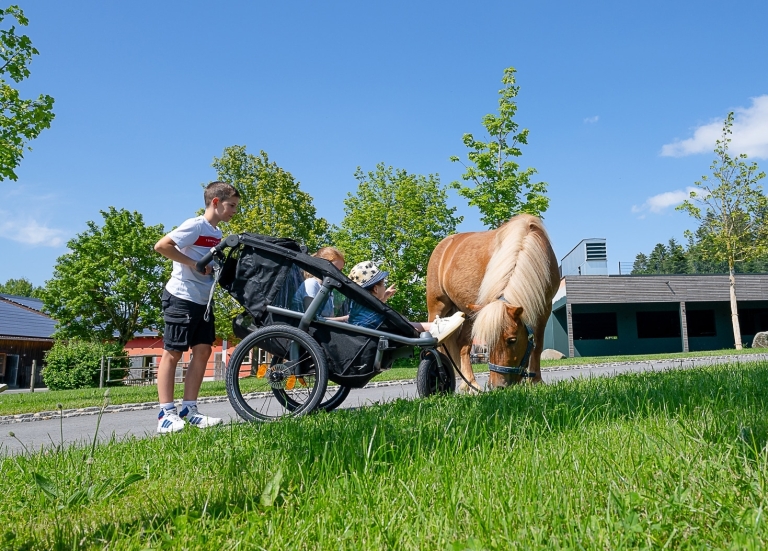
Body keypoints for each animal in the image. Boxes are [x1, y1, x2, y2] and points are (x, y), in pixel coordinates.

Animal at [426, 213, 560, 390]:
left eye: (512, 340)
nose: (497, 386)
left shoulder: (544, 307)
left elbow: (537, 344)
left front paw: (535, 380)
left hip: (469, 314)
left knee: (463, 345)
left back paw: (470, 384)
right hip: (437, 308)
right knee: (437, 343)